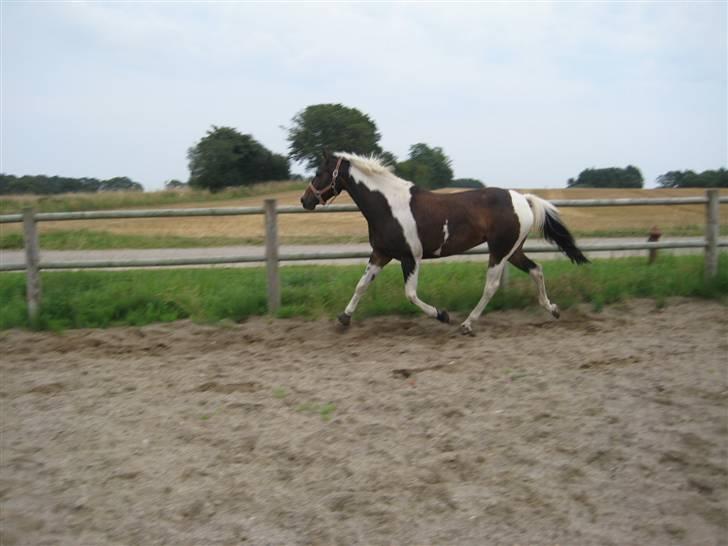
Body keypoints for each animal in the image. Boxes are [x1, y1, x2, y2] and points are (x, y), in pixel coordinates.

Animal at [298, 151, 588, 334]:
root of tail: (523, 199)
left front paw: (443, 315)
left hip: (499, 251)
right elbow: (361, 285)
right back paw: (552, 309)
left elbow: (411, 295)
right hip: (513, 250)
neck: (389, 205)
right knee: (536, 270)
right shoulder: (381, 253)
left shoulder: (410, 258)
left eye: (319, 172)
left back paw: (467, 324)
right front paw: (343, 319)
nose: (305, 200)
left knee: (491, 286)